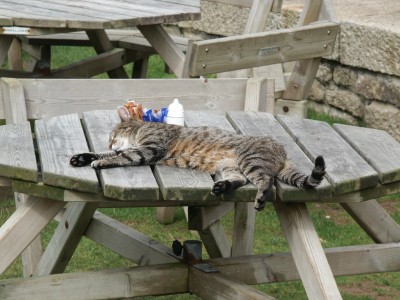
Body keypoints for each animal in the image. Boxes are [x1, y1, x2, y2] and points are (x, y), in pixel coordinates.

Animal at [70, 108, 324, 211]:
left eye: (113, 135)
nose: (109, 143)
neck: (140, 130)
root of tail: (283, 153)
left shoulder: (149, 149)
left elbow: (122, 156)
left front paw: (100, 161)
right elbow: (104, 153)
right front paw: (83, 157)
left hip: (251, 161)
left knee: (265, 182)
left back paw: (260, 199)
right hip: (230, 167)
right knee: (241, 180)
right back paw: (222, 186)